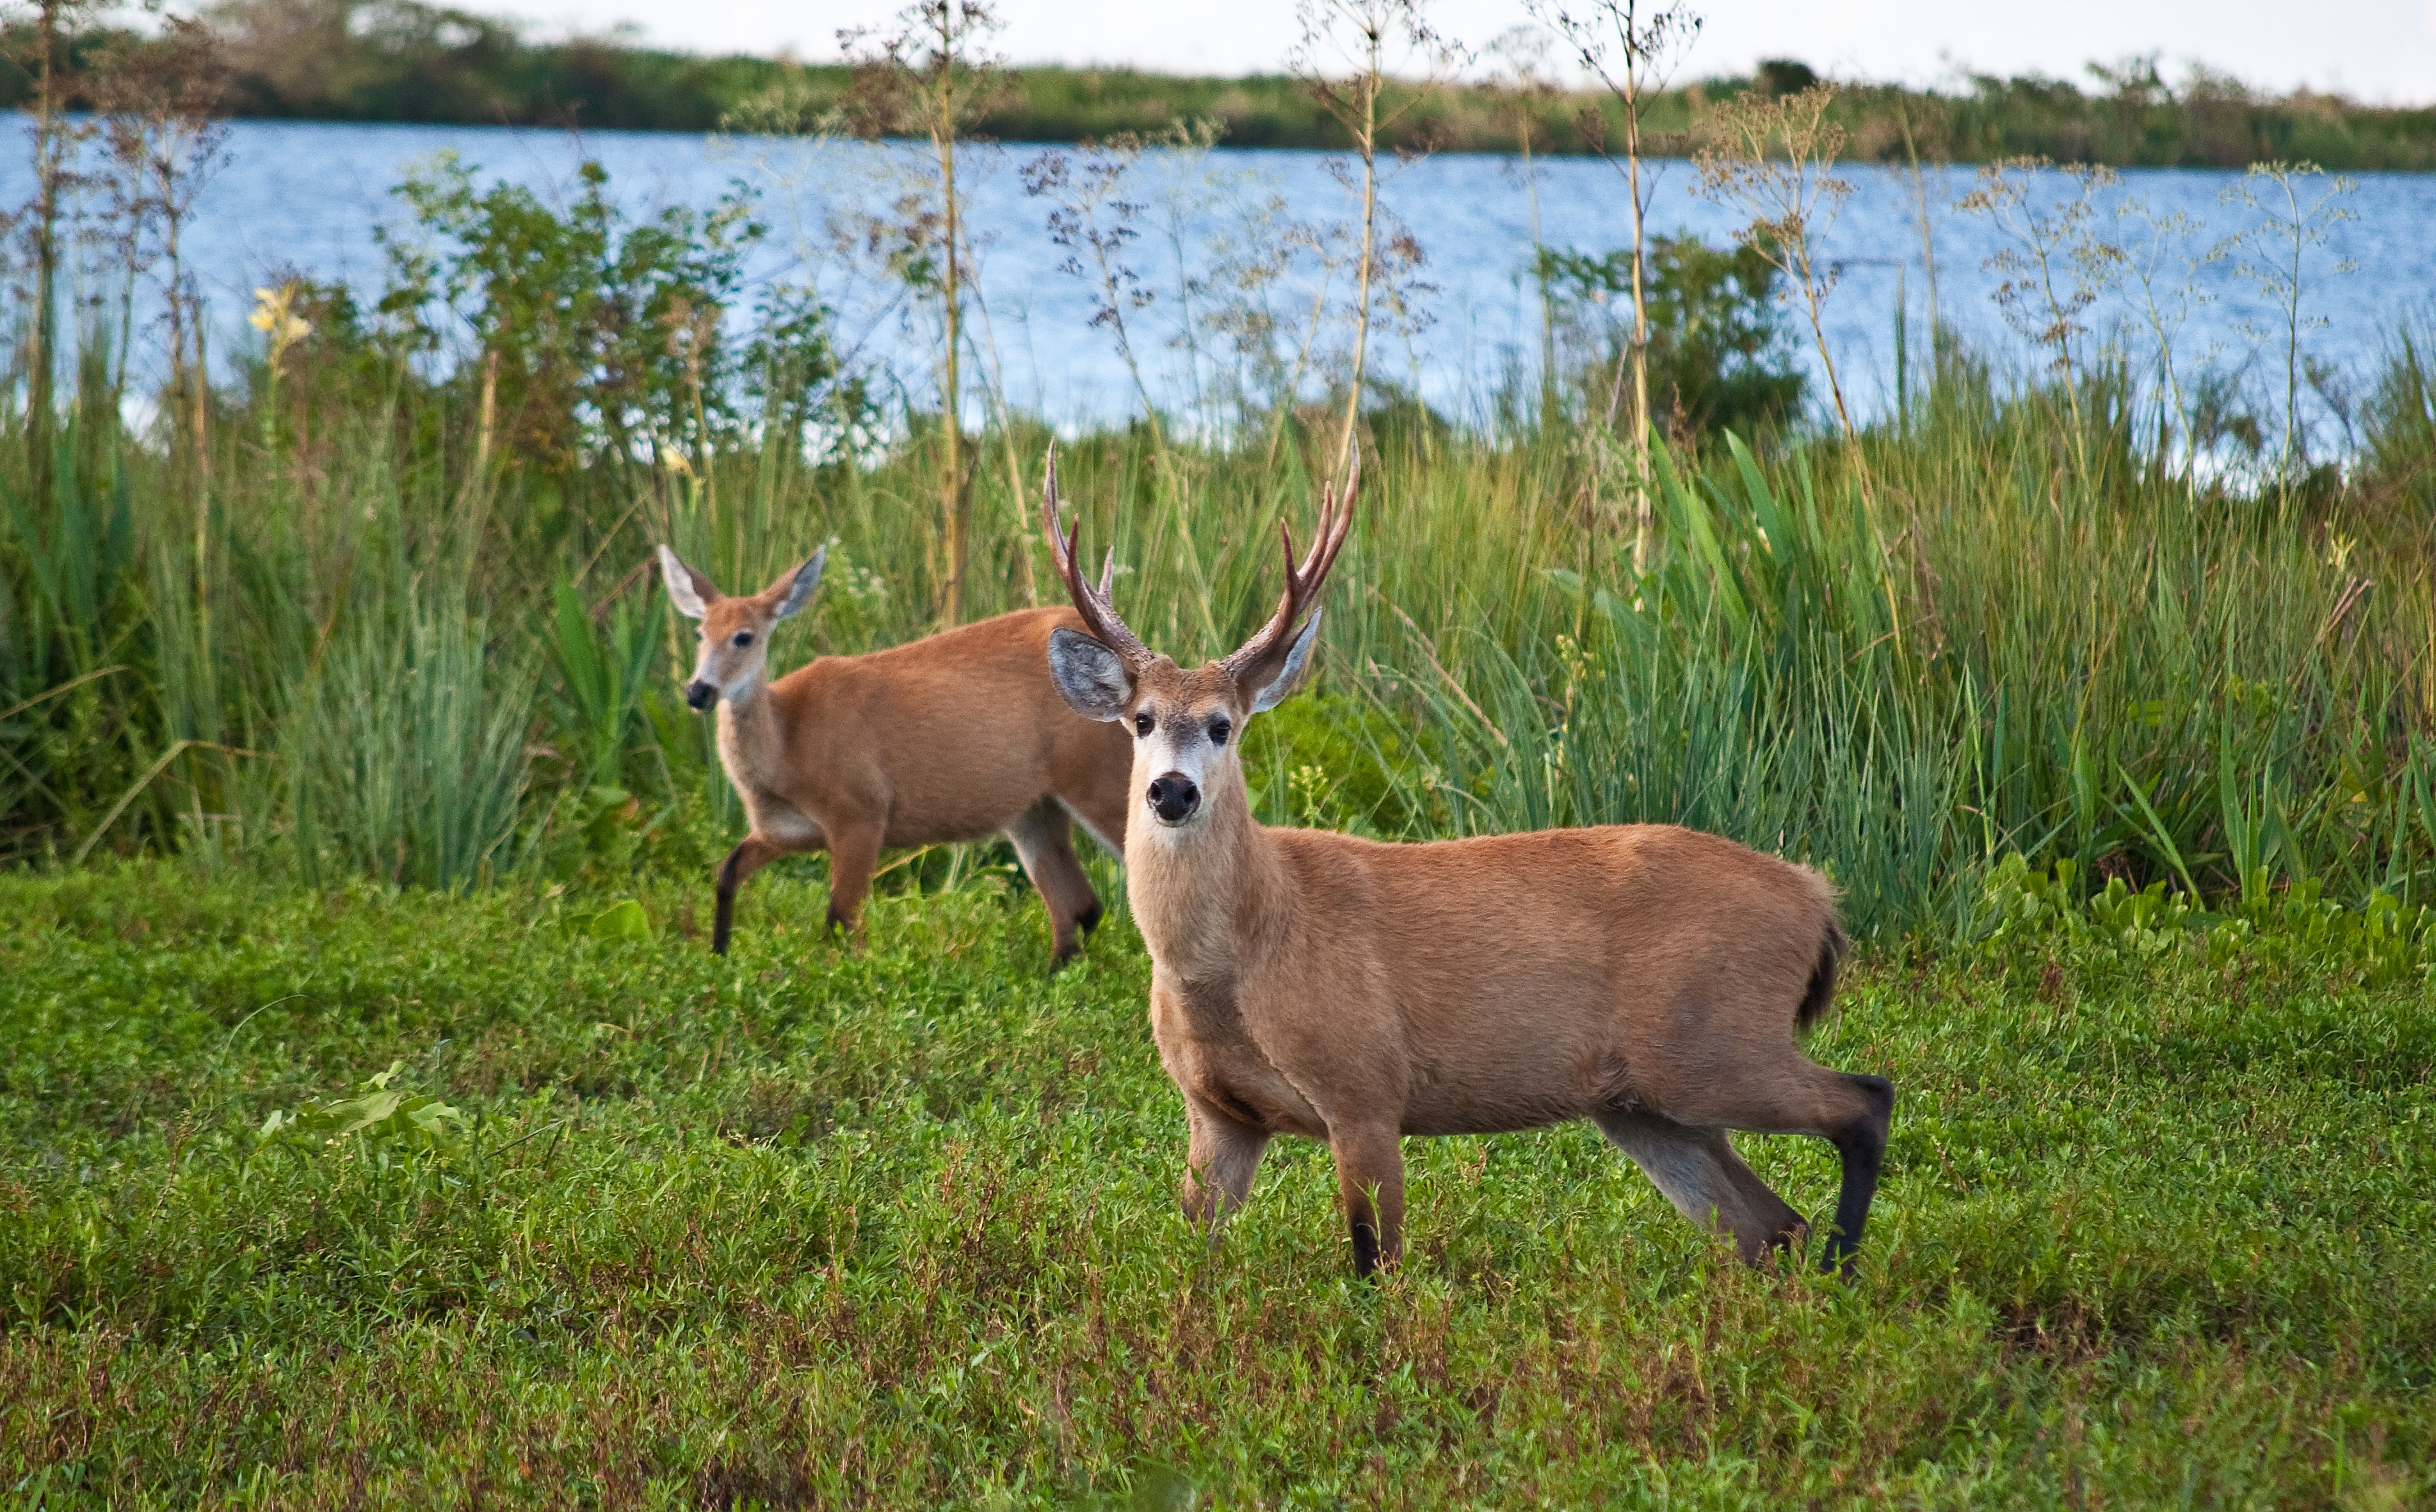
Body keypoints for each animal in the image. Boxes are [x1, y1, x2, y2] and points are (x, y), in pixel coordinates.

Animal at [658, 544, 1133, 967]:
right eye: (699, 633)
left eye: (744, 637)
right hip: (1033, 809)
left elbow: (841, 920)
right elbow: (727, 872)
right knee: (1079, 908)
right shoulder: (783, 832)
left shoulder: (861, 813)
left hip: (1100, 780)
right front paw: (718, 956)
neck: (787, 748)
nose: (698, 691)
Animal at [1035, 447, 1894, 1278]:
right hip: (1647, 1103)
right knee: (1770, 1224)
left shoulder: (1365, 1086)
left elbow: (1374, 1263)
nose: (1171, 791)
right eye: (1142, 719)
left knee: (1864, 1102)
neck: (1246, 947)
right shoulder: (1217, 1116)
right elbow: (1194, 1252)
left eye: (1223, 725)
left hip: (1715, 1040)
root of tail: (1818, 900)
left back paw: (1844, 1276)